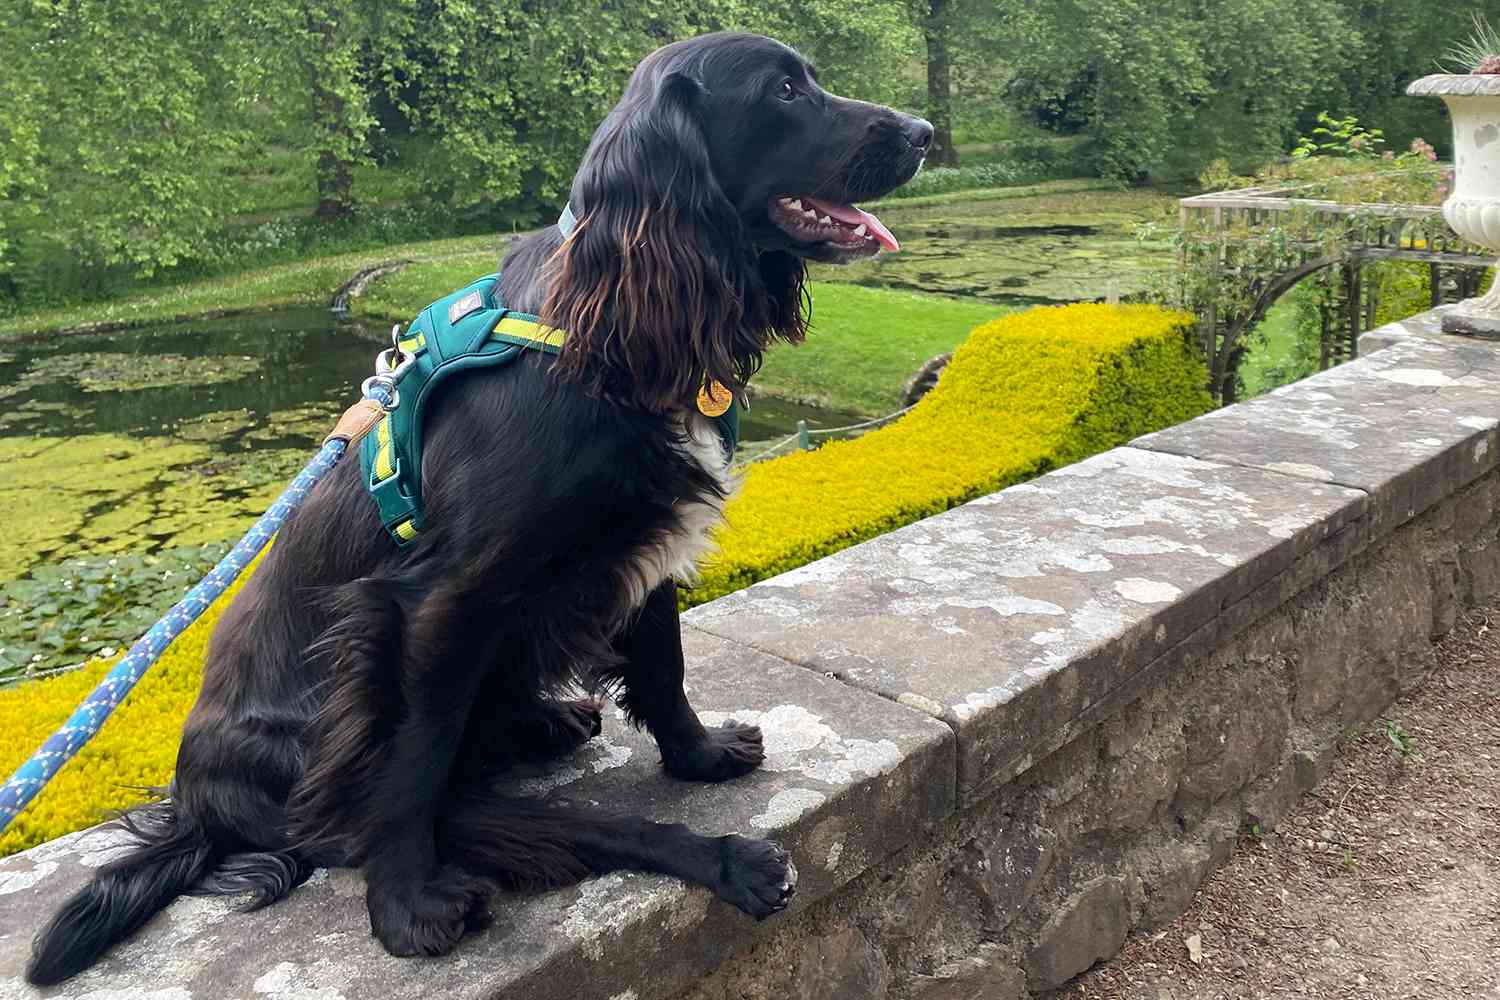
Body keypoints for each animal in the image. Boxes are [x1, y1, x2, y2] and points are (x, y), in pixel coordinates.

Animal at [29, 29, 930, 983]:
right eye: (784, 91)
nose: (923, 131)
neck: (606, 330)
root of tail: (197, 804)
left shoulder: (641, 541)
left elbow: (663, 662)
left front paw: (697, 754)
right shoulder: (435, 602)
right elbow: (411, 768)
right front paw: (401, 908)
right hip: (321, 763)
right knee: (506, 816)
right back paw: (721, 859)